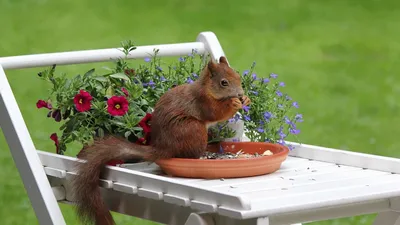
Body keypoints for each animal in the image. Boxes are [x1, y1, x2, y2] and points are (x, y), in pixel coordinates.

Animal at [69, 55, 250, 225]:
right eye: (224, 83)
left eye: (237, 76)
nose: (240, 94)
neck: (207, 89)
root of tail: (162, 148)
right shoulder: (202, 101)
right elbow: (216, 113)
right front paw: (233, 103)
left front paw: (246, 99)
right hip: (193, 129)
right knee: (189, 155)